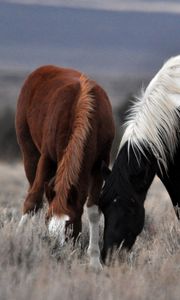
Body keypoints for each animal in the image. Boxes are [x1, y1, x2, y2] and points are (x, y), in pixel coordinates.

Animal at [15, 65, 114, 270]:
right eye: (48, 220)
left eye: (71, 225)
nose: (56, 253)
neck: (81, 109)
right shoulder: (47, 158)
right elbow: (33, 200)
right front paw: (18, 237)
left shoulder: (99, 164)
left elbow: (93, 210)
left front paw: (94, 260)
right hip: (29, 154)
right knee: (34, 194)